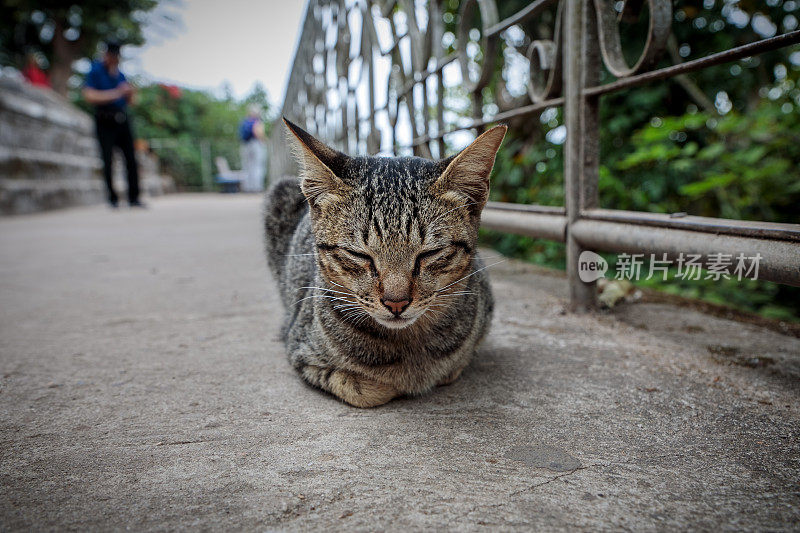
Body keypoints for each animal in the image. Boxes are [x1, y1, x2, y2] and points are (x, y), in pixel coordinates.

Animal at [268, 118, 506, 406]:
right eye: (359, 254)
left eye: (429, 253)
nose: (396, 303)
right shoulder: (300, 348)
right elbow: (362, 389)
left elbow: (455, 365)